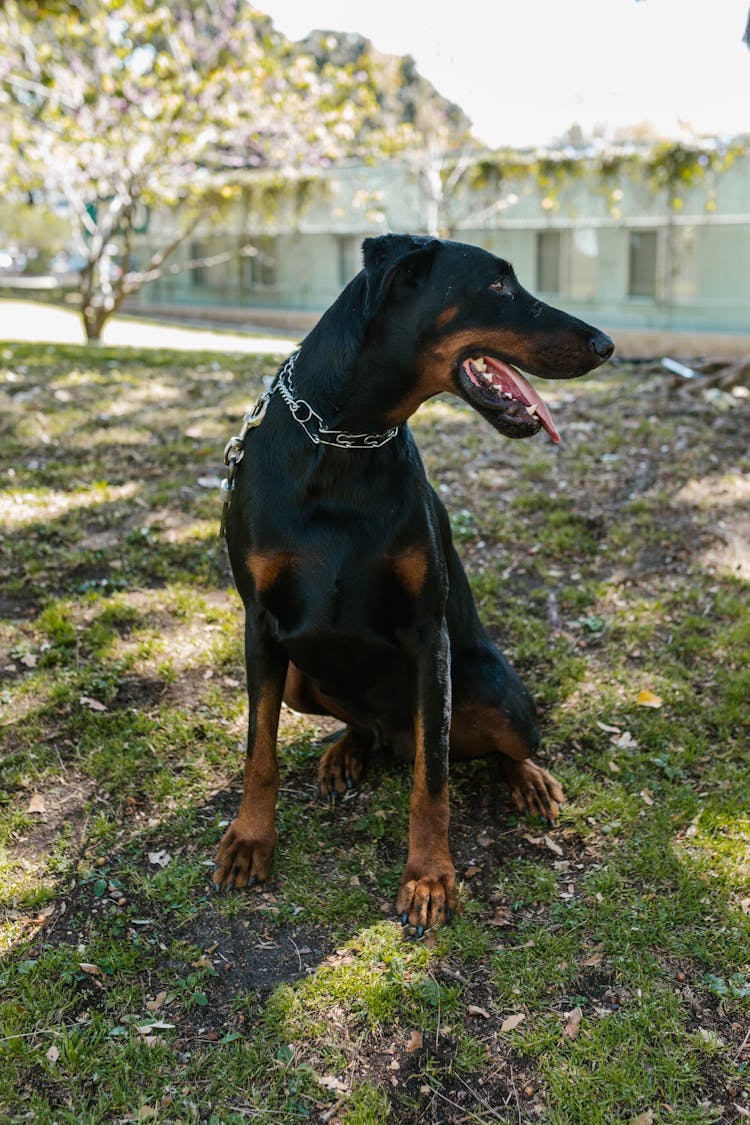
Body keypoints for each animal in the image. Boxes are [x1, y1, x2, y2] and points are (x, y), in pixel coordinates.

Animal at [213, 235, 611, 931]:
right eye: (498, 285)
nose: (606, 344)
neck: (344, 442)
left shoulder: (429, 635)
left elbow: (435, 777)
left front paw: (428, 878)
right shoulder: (259, 623)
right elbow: (259, 753)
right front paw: (250, 840)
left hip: (498, 696)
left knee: (491, 748)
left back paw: (529, 780)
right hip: (300, 678)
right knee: (360, 728)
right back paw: (345, 753)